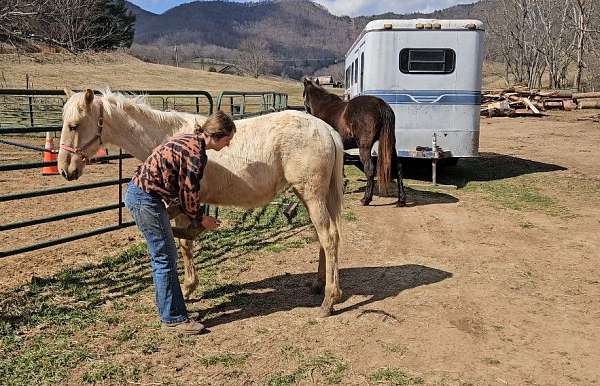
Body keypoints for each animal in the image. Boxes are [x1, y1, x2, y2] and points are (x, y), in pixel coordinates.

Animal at [60, 89, 344, 316]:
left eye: (74, 125)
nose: (65, 169)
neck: (167, 137)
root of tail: (327, 130)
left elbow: (185, 245)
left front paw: (188, 288)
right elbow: (186, 243)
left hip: (311, 194)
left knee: (328, 236)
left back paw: (329, 300)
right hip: (313, 196)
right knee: (323, 237)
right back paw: (318, 285)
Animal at [302, 77, 406, 207]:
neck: (324, 106)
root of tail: (381, 105)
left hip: (364, 147)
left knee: (369, 169)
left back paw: (366, 199)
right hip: (390, 145)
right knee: (398, 167)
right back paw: (401, 200)